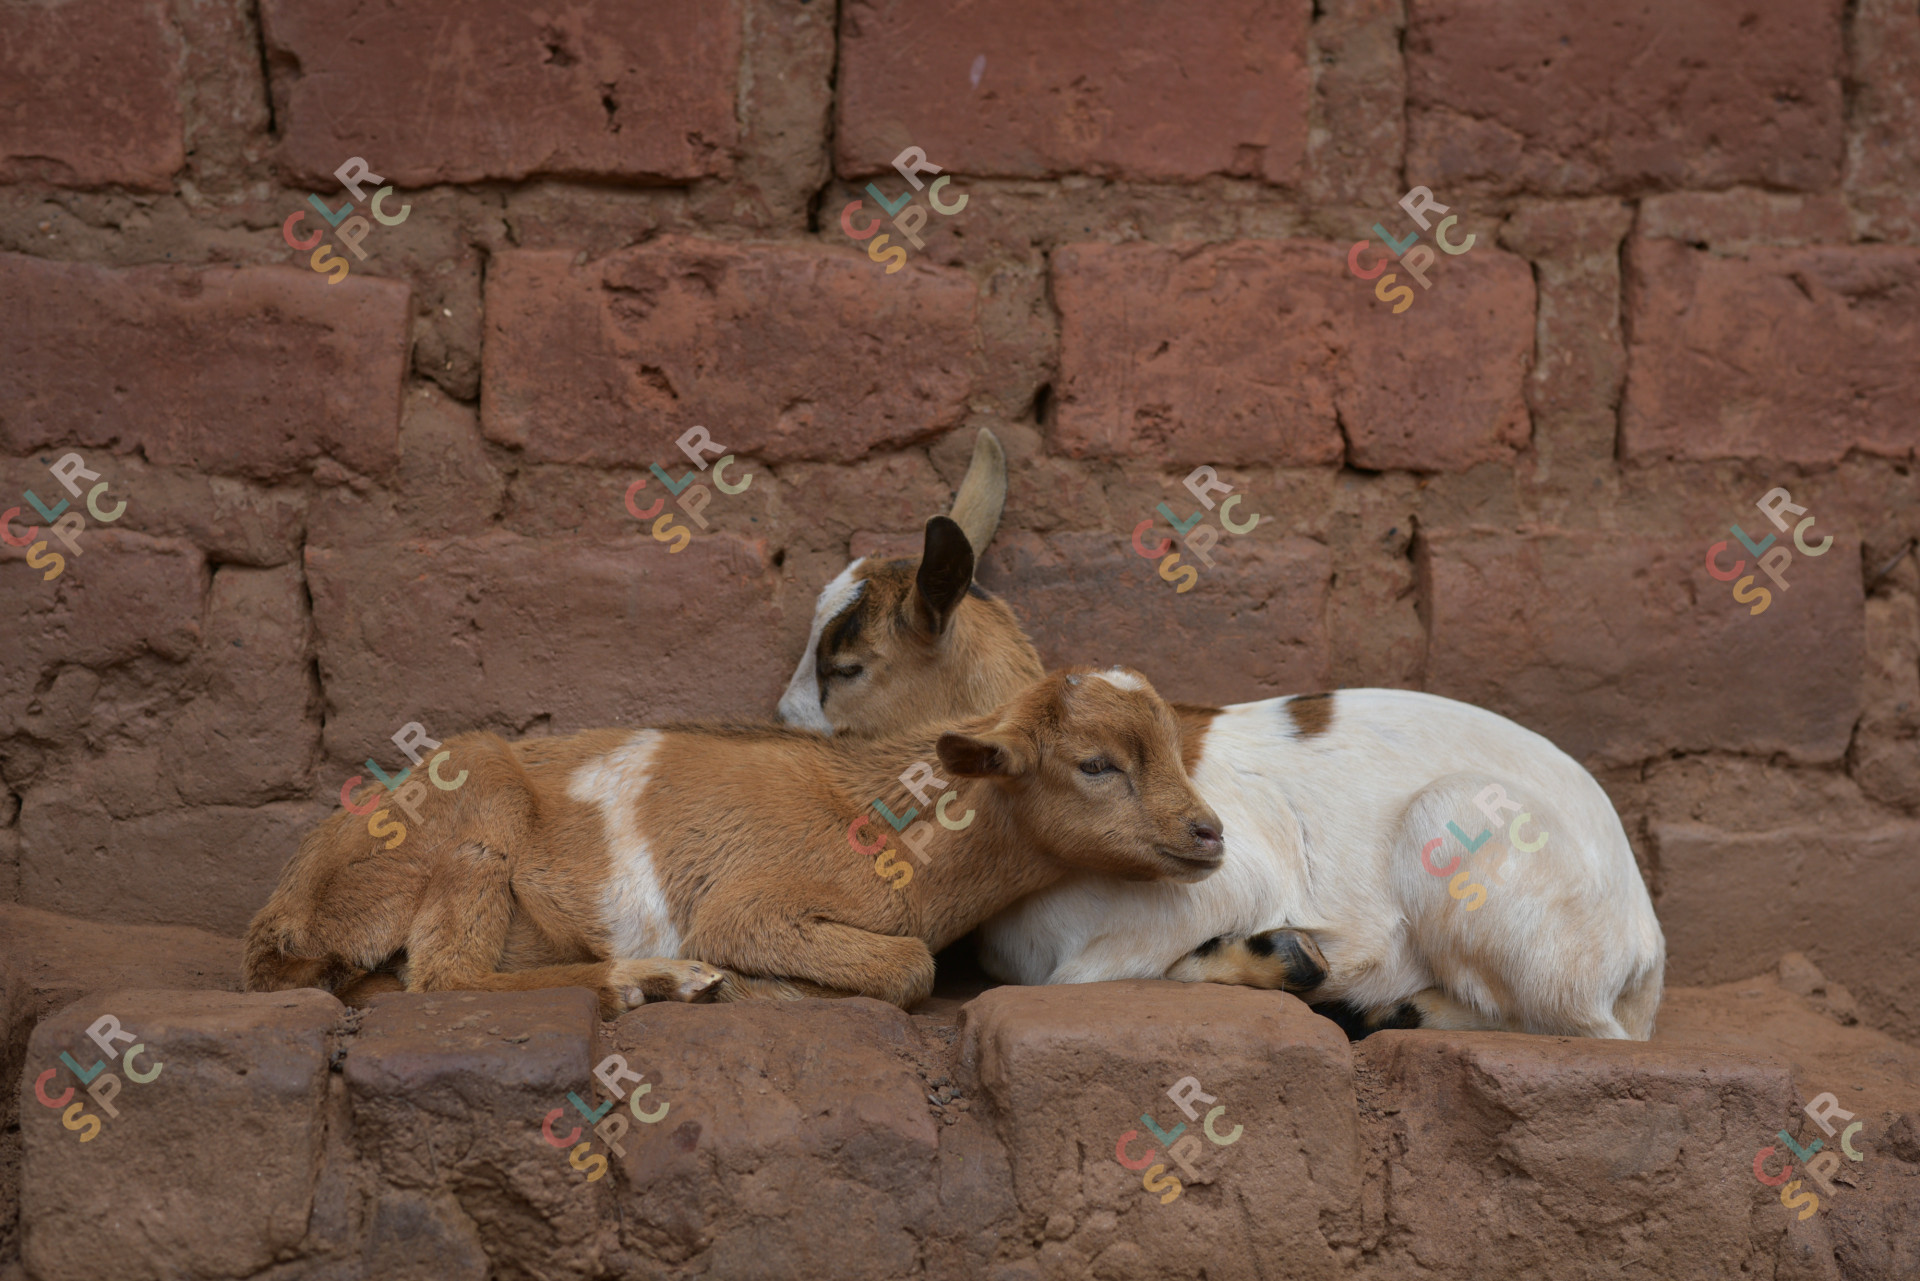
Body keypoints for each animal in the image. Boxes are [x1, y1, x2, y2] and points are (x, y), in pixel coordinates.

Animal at [244, 667, 1224, 1016]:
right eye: (1096, 764)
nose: (1208, 832)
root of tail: (284, 912)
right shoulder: (750, 904)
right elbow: (910, 966)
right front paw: (755, 981)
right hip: (474, 797)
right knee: (443, 975)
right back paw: (651, 980)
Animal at [774, 431, 1666, 1040]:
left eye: (846, 665)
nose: (781, 724)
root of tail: (1642, 946)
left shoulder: (1228, 880)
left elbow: (1088, 977)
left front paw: (1287, 961)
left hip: (1460, 841)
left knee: (1573, 1026)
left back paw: (1386, 1007)